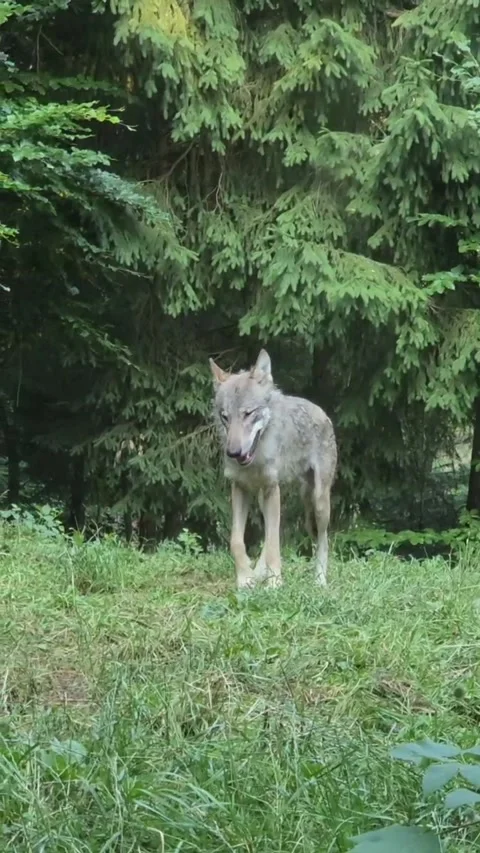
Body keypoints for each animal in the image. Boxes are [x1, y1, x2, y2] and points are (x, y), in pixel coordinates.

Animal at [209, 349, 337, 589]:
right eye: (225, 417)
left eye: (248, 413)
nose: (233, 453)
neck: (256, 459)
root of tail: (321, 412)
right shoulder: (240, 489)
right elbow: (237, 541)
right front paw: (245, 578)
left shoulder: (271, 490)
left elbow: (273, 544)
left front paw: (275, 581)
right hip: (267, 499)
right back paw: (259, 572)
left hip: (318, 503)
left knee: (322, 540)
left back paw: (320, 580)